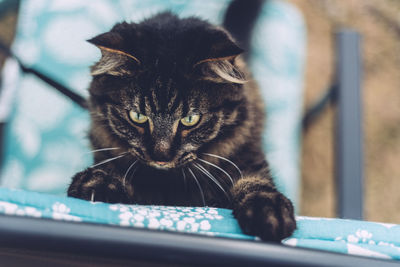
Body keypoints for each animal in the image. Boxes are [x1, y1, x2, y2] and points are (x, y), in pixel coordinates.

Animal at [67, 12, 296, 243]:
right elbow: (113, 169)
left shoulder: (248, 160)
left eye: (190, 119)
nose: (161, 158)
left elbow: (255, 184)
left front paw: (268, 212)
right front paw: (99, 181)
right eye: (137, 117)